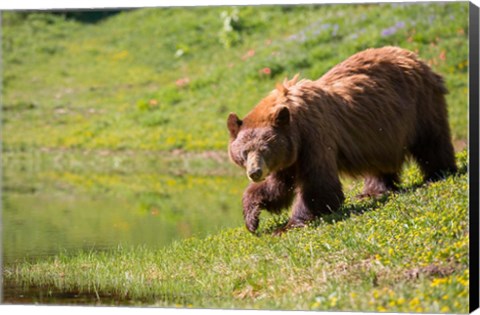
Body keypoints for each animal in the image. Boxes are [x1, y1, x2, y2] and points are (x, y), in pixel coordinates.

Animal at [227, 47, 456, 235]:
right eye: (244, 152)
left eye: (265, 149)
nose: (255, 172)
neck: (296, 124)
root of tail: (414, 57)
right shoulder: (291, 155)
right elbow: (279, 186)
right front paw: (251, 217)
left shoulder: (315, 137)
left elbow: (318, 184)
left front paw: (289, 225)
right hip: (381, 132)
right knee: (381, 161)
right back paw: (373, 191)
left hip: (420, 106)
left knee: (431, 142)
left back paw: (438, 173)